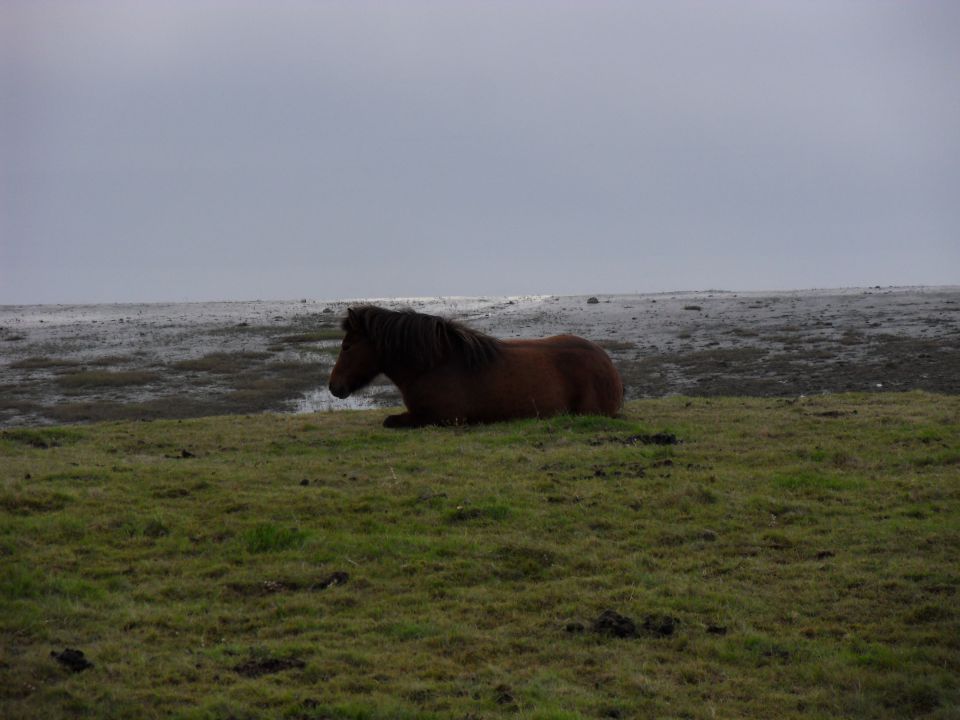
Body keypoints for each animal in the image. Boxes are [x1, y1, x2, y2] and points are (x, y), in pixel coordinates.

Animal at [326, 306, 624, 428]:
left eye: (347, 346)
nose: (333, 386)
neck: (436, 364)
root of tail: (607, 362)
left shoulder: (441, 418)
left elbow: (389, 421)